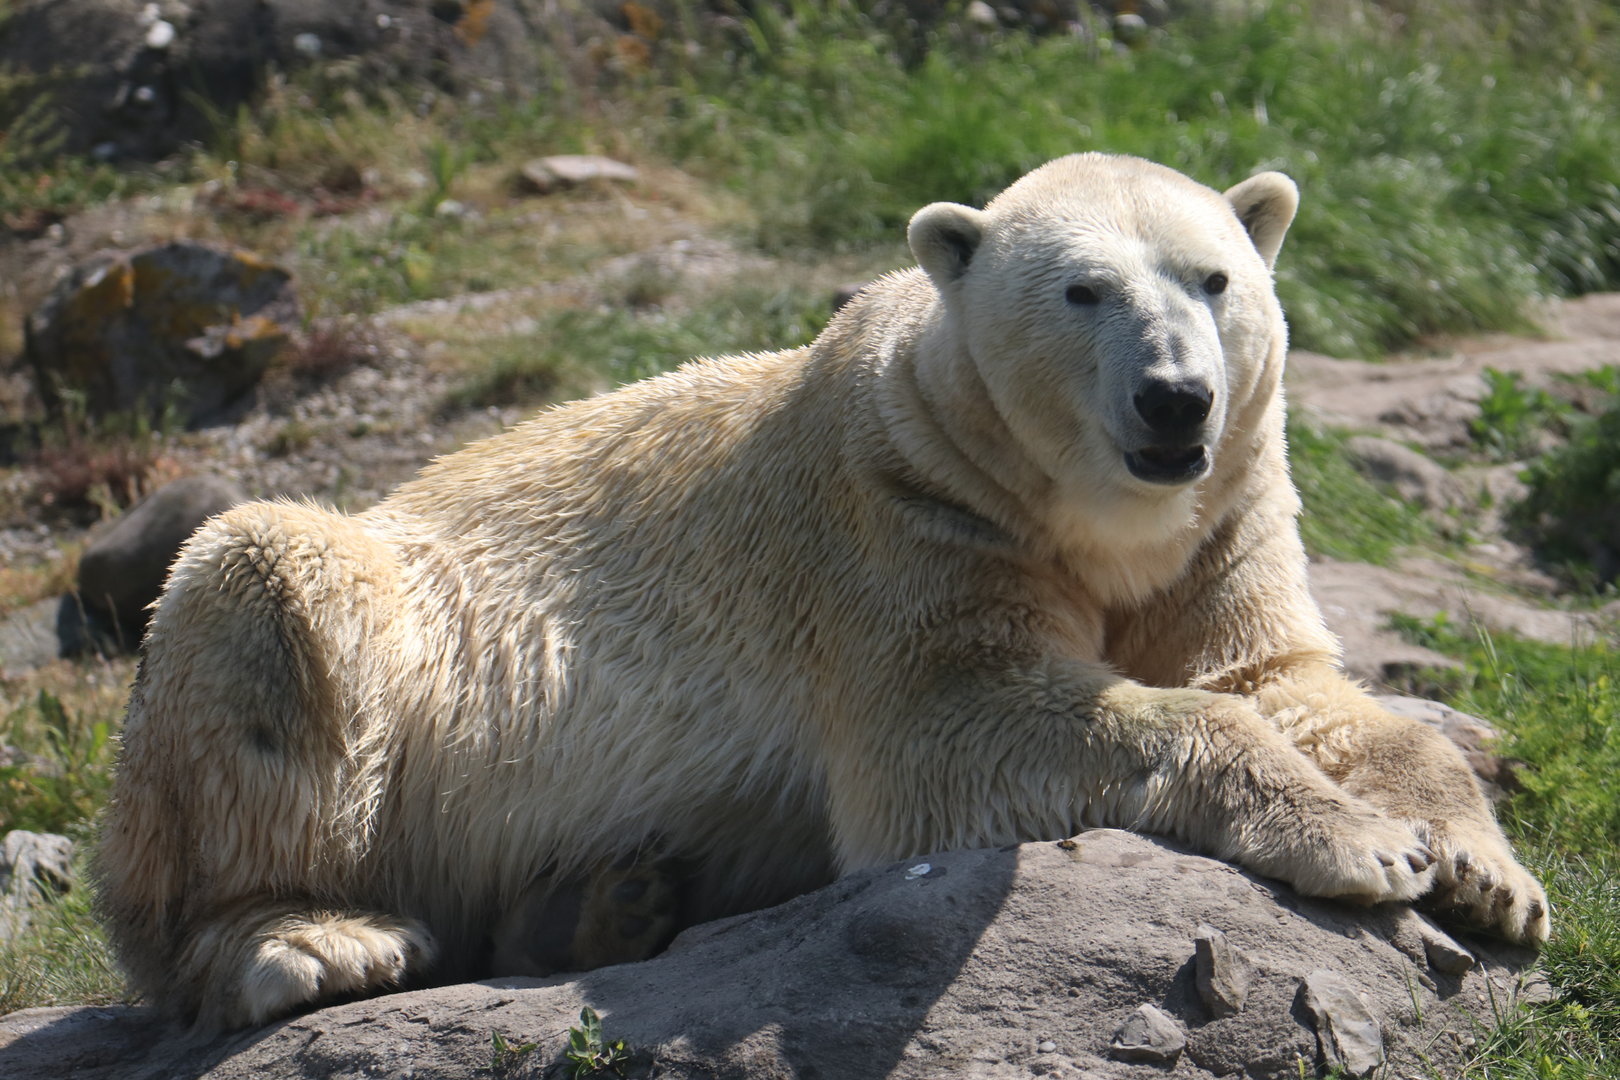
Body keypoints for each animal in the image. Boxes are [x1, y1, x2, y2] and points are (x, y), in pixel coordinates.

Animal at [95, 153, 1549, 1031]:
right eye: (1084, 290)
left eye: (1217, 277)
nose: (1175, 398)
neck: (1079, 514)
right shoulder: (906, 524)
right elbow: (954, 734)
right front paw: (1366, 847)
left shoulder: (1221, 519)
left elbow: (1282, 679)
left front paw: (1488, 874)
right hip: (352, 635)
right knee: (260, 597)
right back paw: (316, 939)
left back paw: (605, 900)